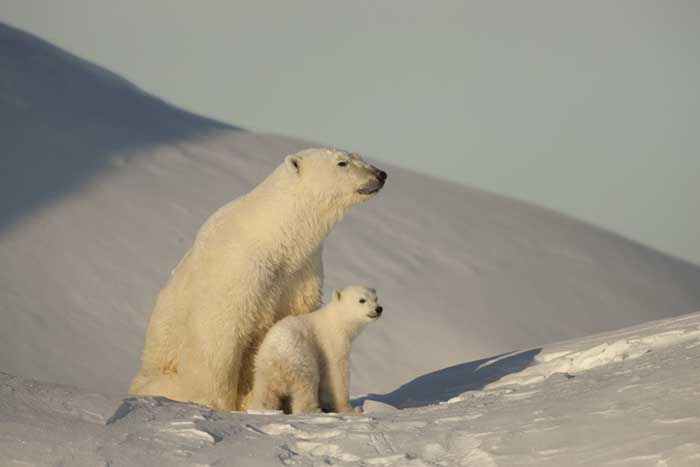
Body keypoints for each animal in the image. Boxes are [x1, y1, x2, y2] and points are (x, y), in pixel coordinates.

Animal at [130, 148, 388, 412]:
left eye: (358, 156)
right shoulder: (236, 269)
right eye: (342, 163)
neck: (272, 237)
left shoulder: (299, 273)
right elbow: (218, 337)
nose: (381, 174)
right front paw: (217, 403)